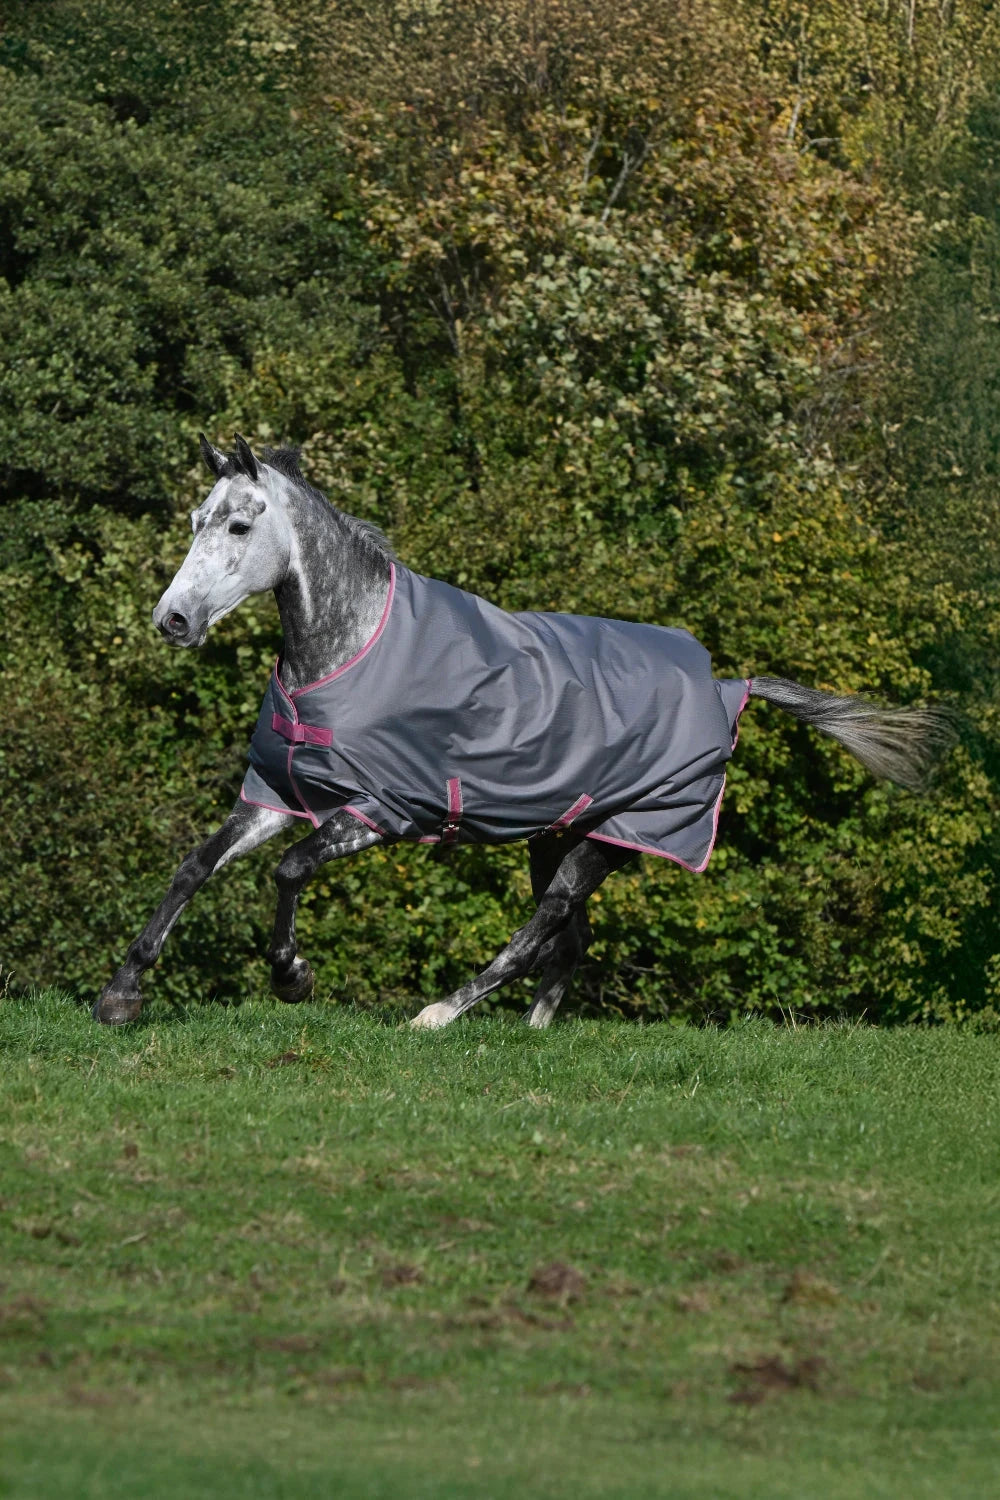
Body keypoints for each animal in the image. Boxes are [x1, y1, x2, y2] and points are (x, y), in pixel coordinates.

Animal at [94, 435, 953, 1027]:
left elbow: (291, 871)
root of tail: (725, 687)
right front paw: (121, 994)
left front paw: (291, 976)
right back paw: (533, 1029)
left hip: (615, 836)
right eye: (197, 519)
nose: (172, 620)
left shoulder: (380, 812)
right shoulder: (278, 795)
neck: (349, 649)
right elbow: (193, 868)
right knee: (569, 938)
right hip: (557, 834)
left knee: (542, 928)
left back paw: (442, 1012)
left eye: (240, 525)